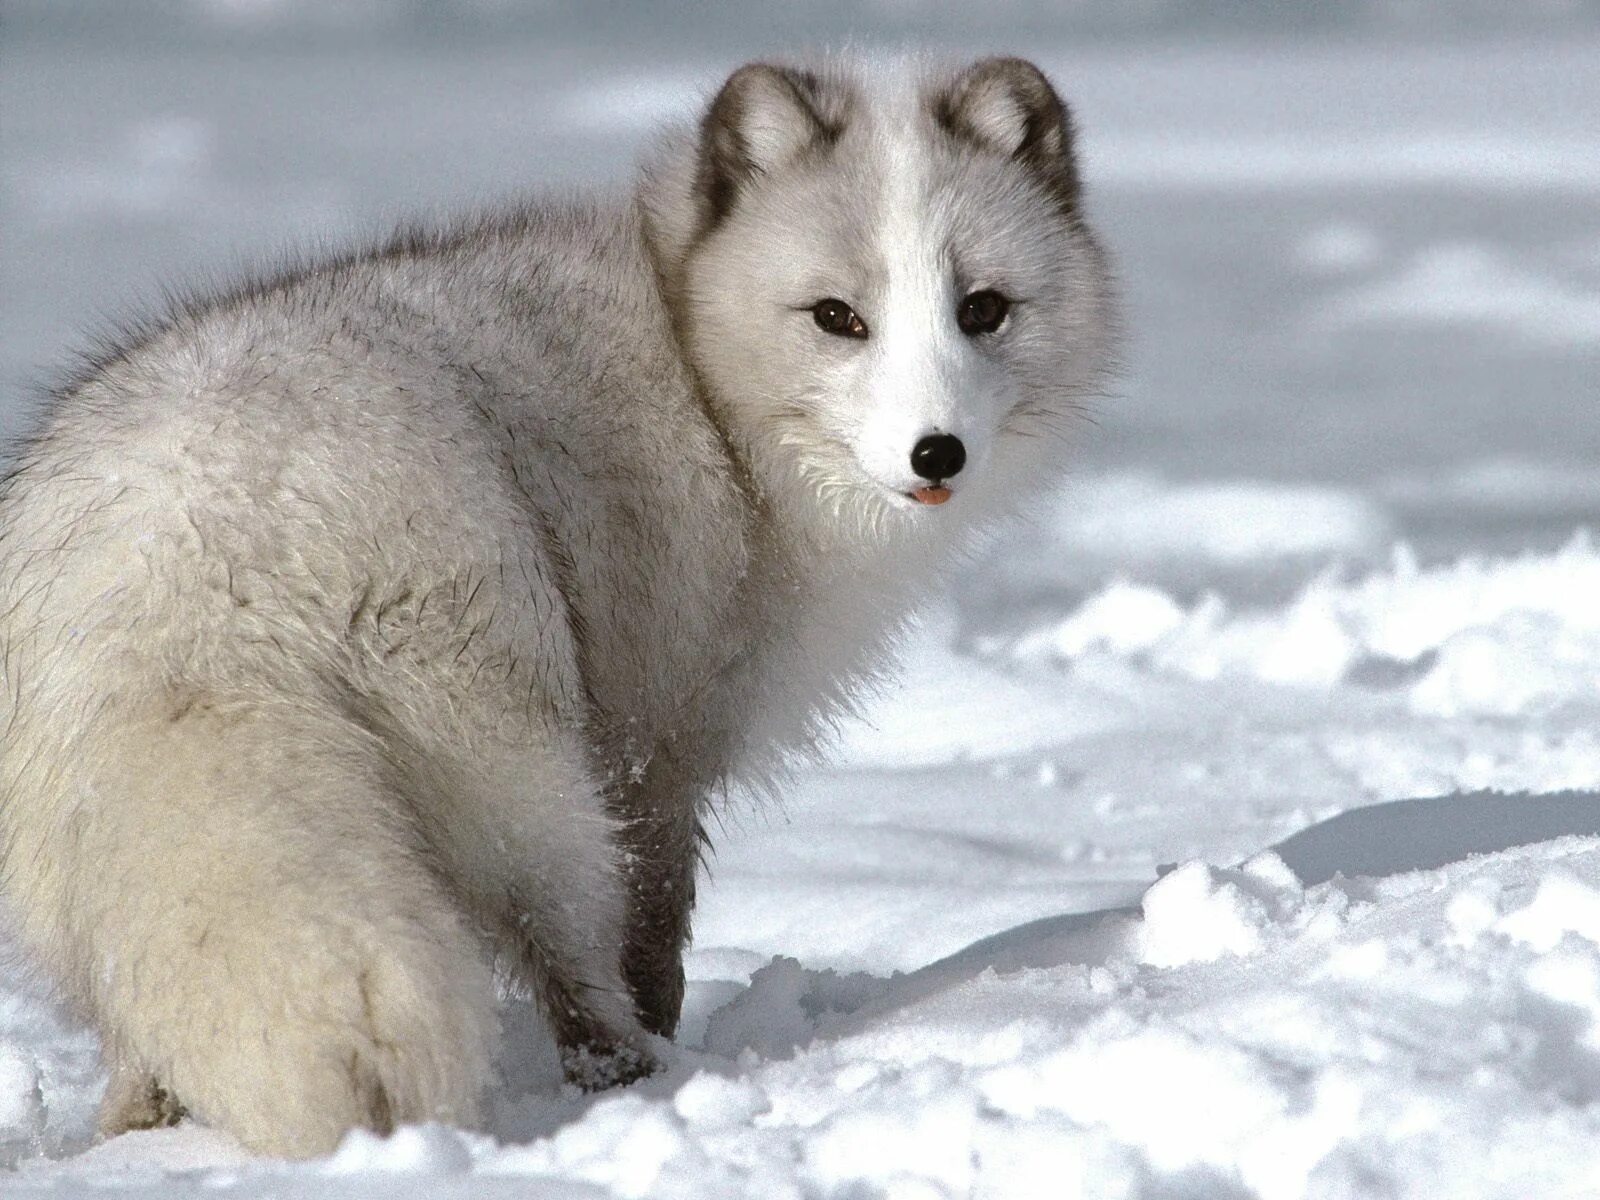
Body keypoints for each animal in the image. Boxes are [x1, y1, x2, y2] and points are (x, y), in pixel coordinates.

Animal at [0, 54, 1113, 1158]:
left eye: (983, 309)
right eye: (838, 317)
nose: (938, 453)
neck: (700, 371)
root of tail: (191, 554)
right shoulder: (658, 743)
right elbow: (654, 929)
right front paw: (662, 1035)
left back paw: (135, 1135)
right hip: (520, 775)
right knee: (569, 957)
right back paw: (634, 1077)